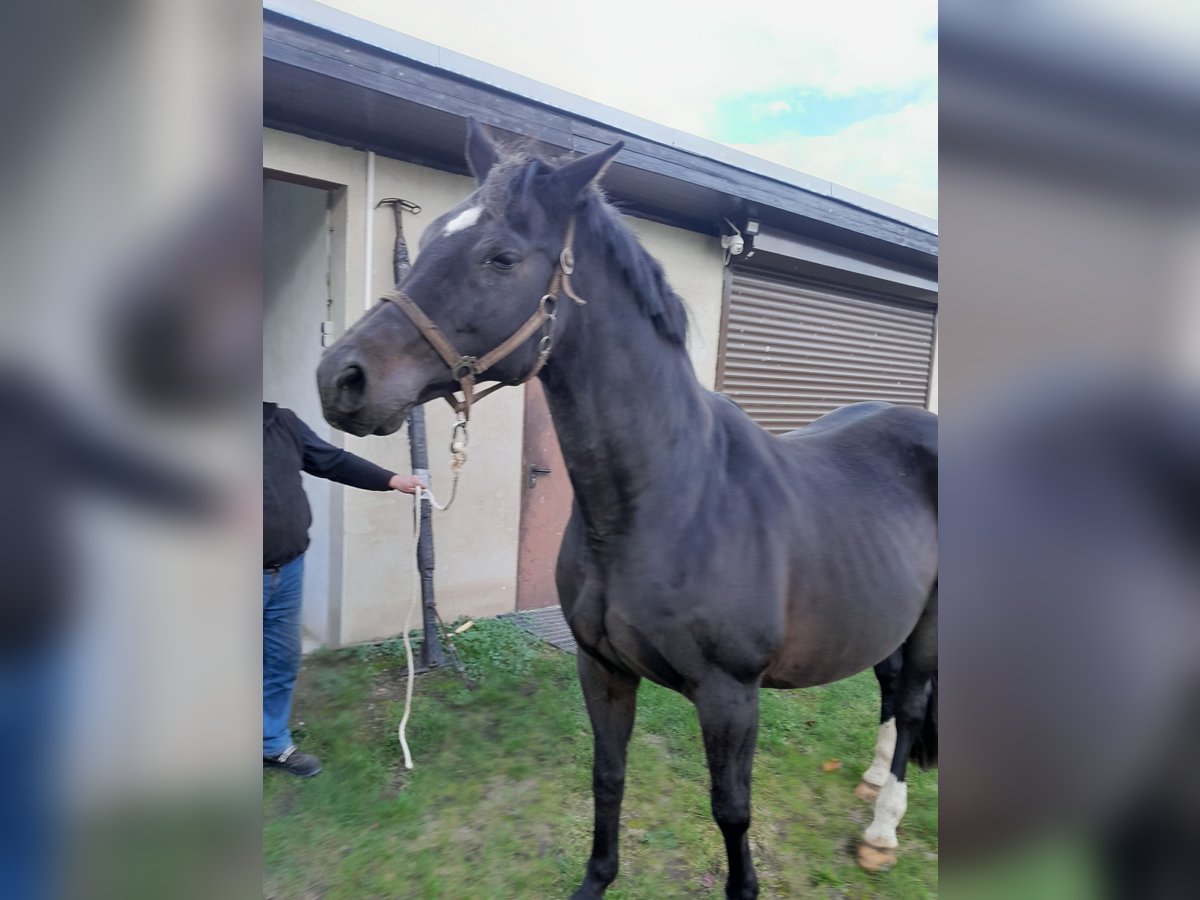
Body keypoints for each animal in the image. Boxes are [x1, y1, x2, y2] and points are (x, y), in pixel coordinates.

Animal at [316, 125, 936, 900]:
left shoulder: (730, 697)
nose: (340, 378)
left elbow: (732, 810)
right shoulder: (602, 669)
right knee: (889, 691)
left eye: (501, 257)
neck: (670, 503)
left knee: (911, 705)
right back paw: (871, 781)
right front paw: (597, 880)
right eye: (426, 237)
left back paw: (882, 831)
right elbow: (607, 777)